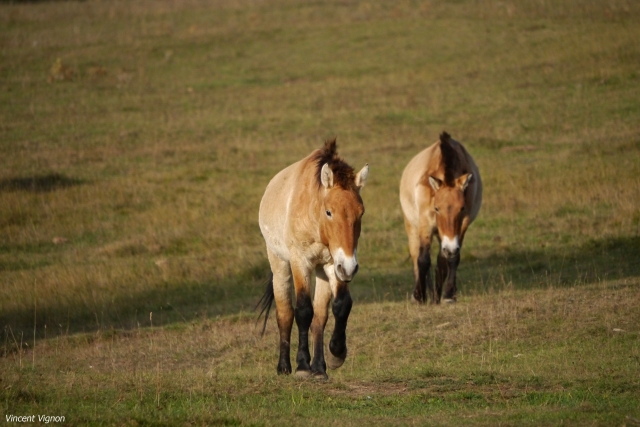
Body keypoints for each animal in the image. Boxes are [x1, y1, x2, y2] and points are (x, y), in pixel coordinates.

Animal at [257, 138, 369, 379]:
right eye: (329, 212)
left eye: (361, 213)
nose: (350, 268)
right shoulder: (301, 263)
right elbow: (302, 311)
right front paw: (301, 366)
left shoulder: (334, 264)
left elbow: (339, 306)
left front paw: (336, 354)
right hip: (280, 265)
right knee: (285, 313)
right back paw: (284, 367)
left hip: (323, 272)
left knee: (320, 317)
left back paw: (319, 367)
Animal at [399, 132, 482, 304]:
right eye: (437, 208)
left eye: (462, 208)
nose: (449, 247)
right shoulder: (425, 225)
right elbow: (423, 260)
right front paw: (419, 295)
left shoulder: (460, 228)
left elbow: (451, 259)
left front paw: (448, 294)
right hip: (412, 226)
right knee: (416, 255)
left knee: (441, 261)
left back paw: (436, 295)